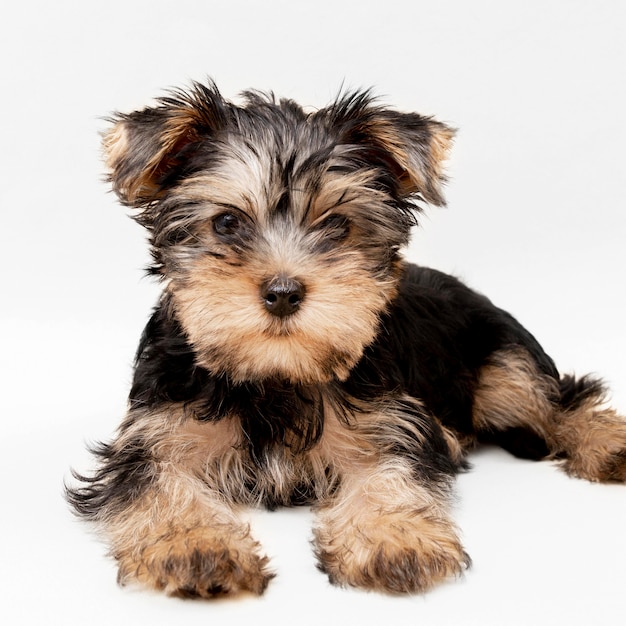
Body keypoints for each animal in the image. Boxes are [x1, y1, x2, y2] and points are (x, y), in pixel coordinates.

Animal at [67, 80, 624, 596]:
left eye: (336, 226)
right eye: (226, 223)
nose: (283, 292)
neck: (277, 376)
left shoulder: (390, 421)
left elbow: (390, 472)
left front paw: (394, 539)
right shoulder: (157, 431)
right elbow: (156, 482)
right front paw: (195, 546)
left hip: (500, 361)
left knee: (555, 396)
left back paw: (608, 444)